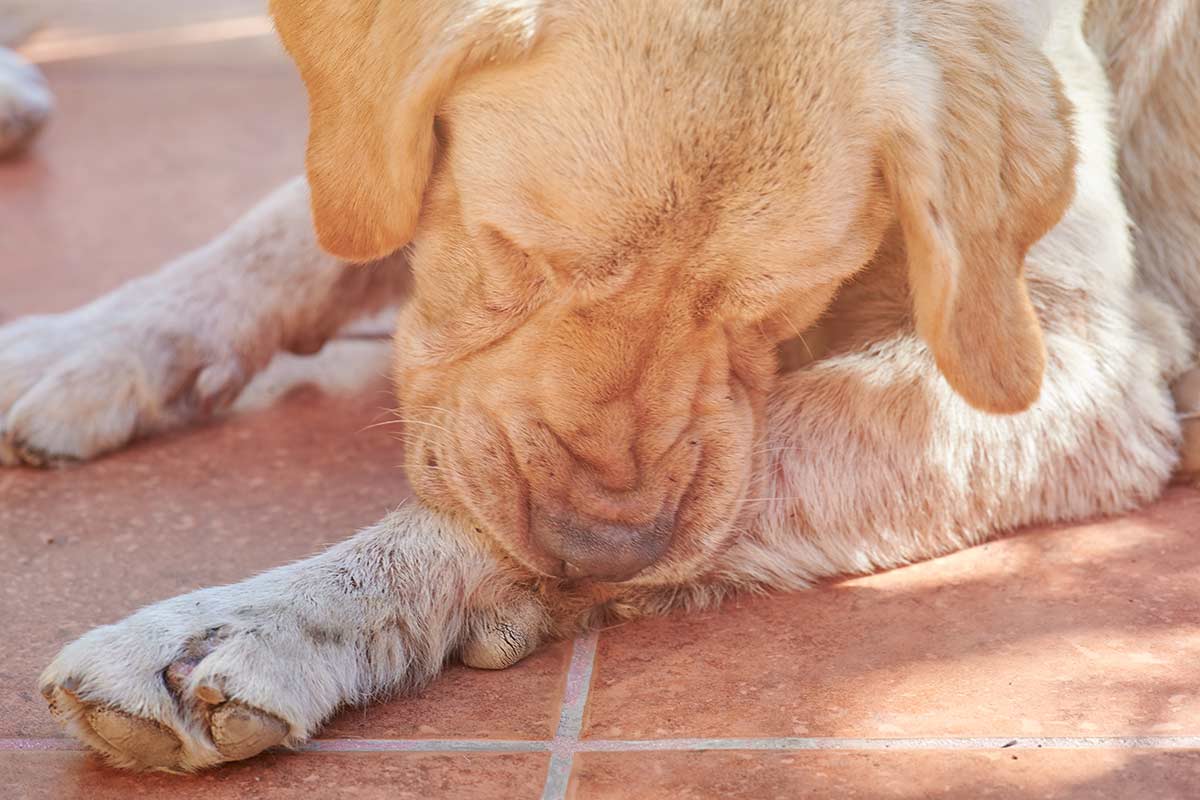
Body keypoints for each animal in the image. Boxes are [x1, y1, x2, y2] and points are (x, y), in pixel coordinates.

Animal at [4, 0, 1195, 777]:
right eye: (517, 254)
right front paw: (94, 337)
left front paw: (271, 616)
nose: (601, 551)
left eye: (770, 306)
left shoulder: (1081, 370)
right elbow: (309, 216)